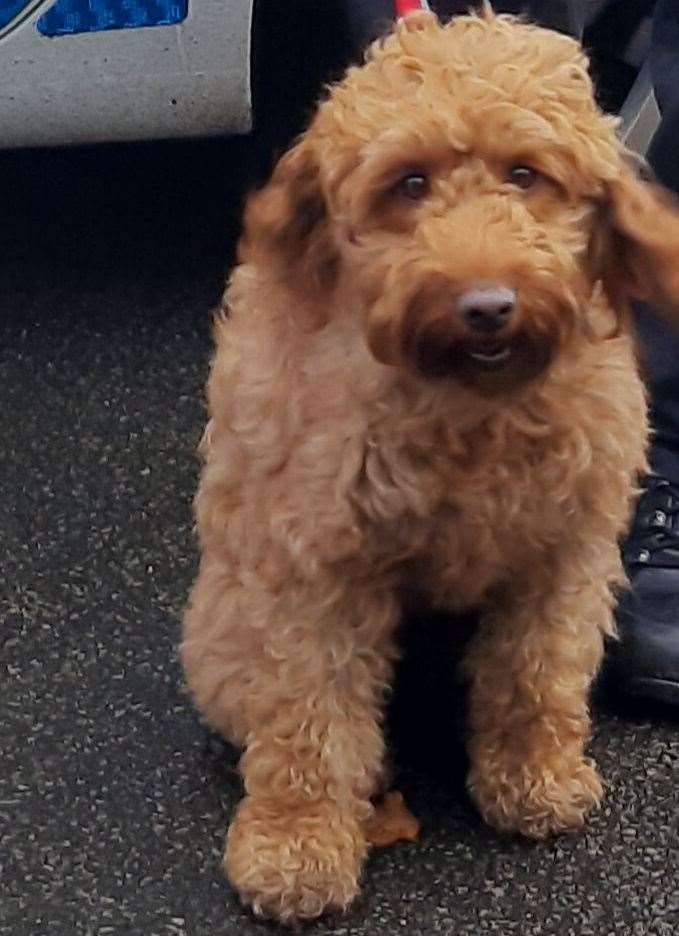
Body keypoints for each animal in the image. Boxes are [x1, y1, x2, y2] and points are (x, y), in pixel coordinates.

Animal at [182, 7, 679, 924]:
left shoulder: (562, 552)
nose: (486, 305)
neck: (469, 404)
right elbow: (306, 713)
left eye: (524, 173)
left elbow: (537, 673)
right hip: (221, 631)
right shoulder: (314, 567)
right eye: (407, 183)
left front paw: (533, 776)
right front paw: (294, 846)